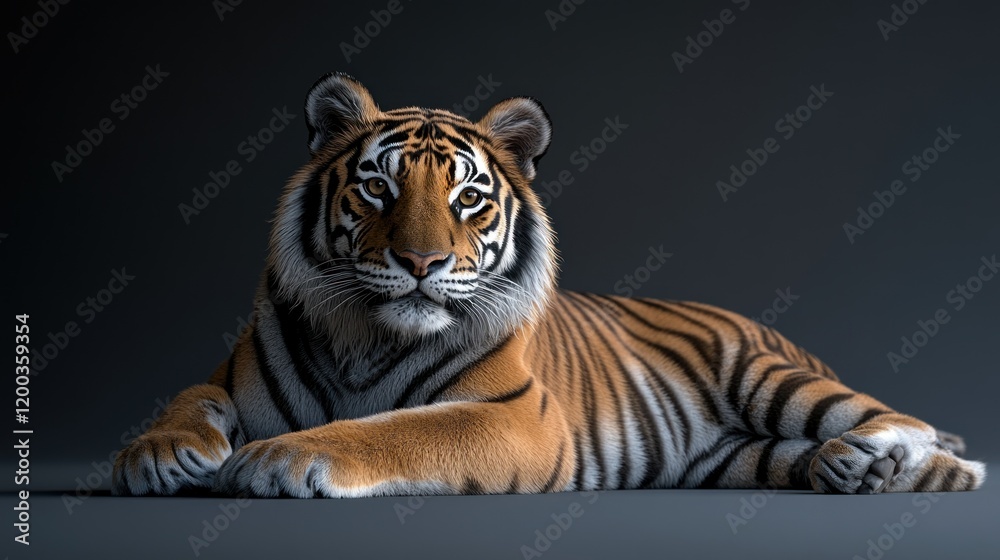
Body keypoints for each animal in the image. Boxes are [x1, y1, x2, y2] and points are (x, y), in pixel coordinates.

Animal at [112, 73, 985, 498]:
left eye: (467, 197)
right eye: (379, 189)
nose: (422, 264)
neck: (367, 339)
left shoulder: (512, 416)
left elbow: (390, 431)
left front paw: (278, 459)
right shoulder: (228, 374)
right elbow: (188, 397)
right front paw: (155, 455)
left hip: (769, 377)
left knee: (909, 426)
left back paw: (877, 455)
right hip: (730, 457)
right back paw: (845, 470)